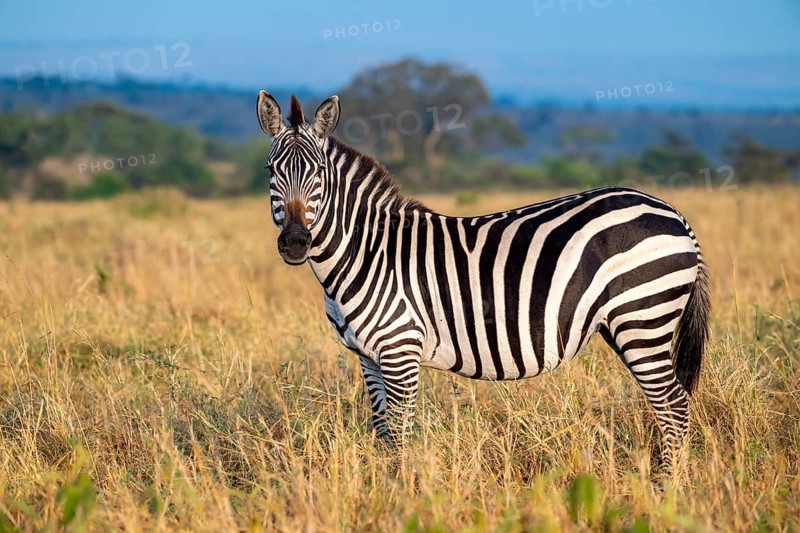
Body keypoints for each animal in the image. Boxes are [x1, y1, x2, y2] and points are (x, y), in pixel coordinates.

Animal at [256, 92, 711, 467]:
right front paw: (385, 486)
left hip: (643, 318)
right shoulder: (368, 356)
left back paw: (668, 488)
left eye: (319, 173)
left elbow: (400, 434)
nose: (295, 243)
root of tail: (672, 211)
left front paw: (404, 494)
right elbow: (383, 430)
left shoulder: (401, 349)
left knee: (673, 405)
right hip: (629, 324)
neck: (366, 251)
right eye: (270, 170)